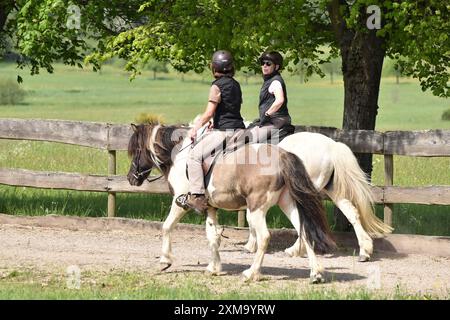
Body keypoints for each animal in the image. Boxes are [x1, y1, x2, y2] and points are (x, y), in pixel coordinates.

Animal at [243, 131, 394, 262]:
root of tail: (332, 146)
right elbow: (250, 218)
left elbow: (250, 218)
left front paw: (250, 245)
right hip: (334, 191)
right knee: (351, 213)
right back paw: (364, 251)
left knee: (307, 218)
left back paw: (295, 250)